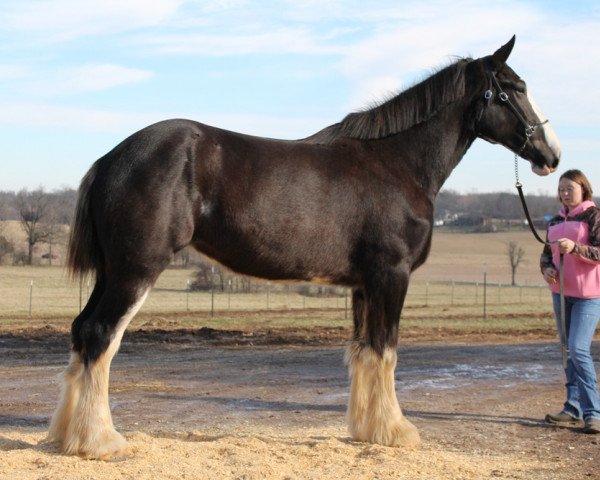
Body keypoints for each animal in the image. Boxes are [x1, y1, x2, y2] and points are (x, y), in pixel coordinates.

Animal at [48, 35, 564, 460]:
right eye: (514, 88)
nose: (552, 155)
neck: (395, 164)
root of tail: (113, 157)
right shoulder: (391, 276)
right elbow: (387, 350)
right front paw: (396, 432)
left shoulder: (363, 285)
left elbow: (363, 352)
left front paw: (367, 431)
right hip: (135, 270)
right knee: (100, 335)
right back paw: (100, 442)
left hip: (112, 272)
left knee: (80, 331)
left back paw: (66, 436)